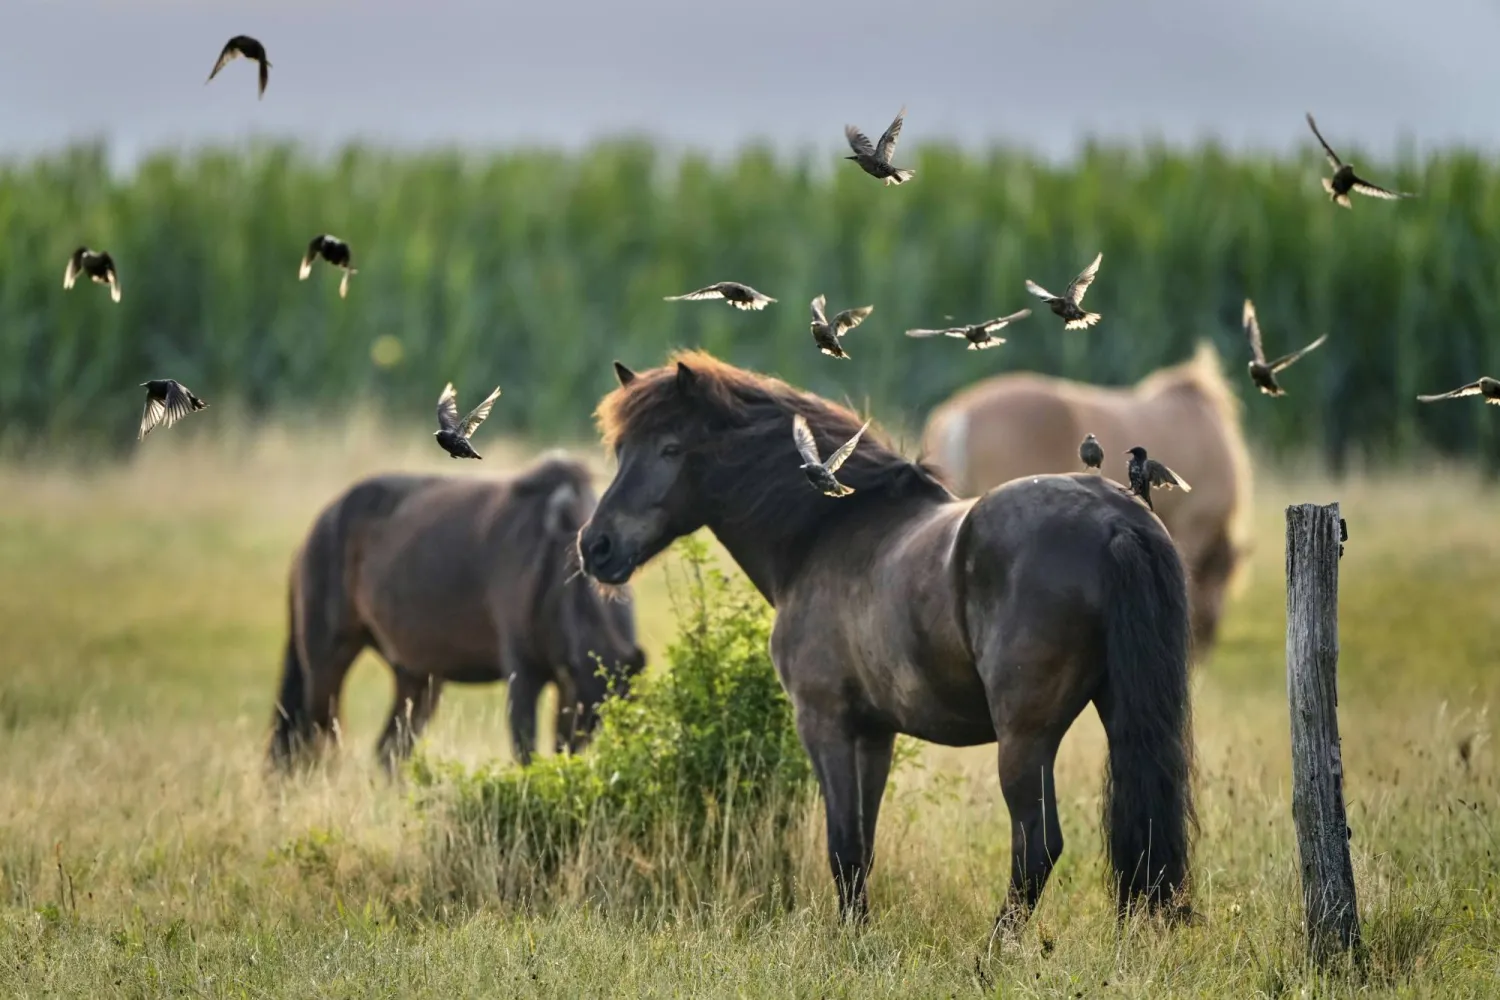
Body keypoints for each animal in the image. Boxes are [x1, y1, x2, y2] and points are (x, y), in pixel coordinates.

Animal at [268, 454, 646, 772]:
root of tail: (317, 529)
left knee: (388, 752)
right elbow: (525, 752)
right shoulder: (524, 674)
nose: (575, 754)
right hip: (327, 661)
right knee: (315, 740)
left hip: (417, 679)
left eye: (604, 721)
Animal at [578, 351, 1195, 927]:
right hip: (1120, 714)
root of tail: (1117, 521)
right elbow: (863, 847)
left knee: (1037, 847)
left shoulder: (825, 722)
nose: (595, 546)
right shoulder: (874, 734)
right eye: (621, 450)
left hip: (1026, 737)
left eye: (671, 449)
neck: (826, 530)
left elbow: (843, 847)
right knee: (1143, 836)